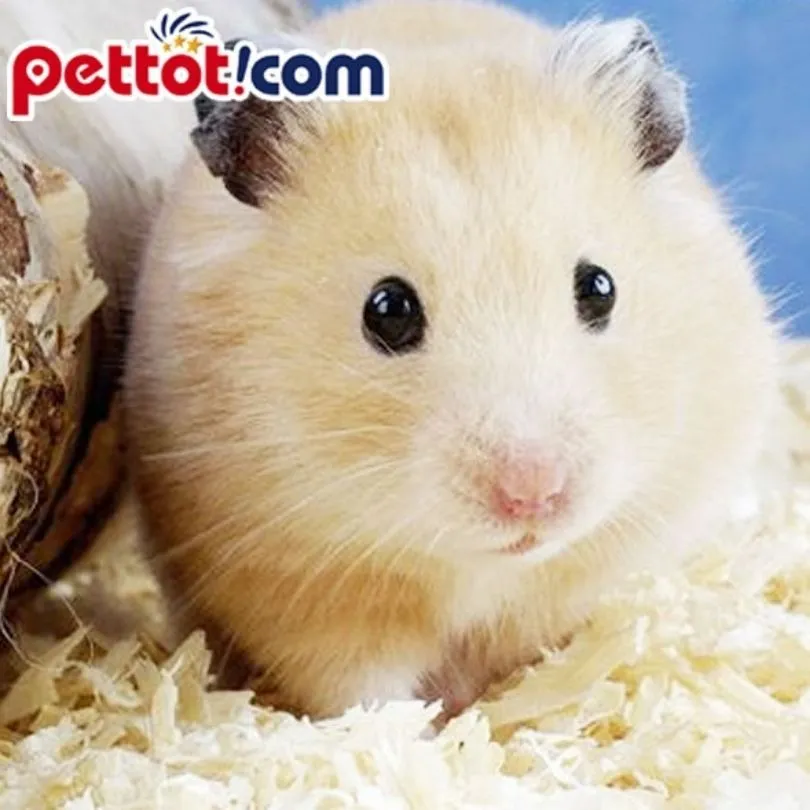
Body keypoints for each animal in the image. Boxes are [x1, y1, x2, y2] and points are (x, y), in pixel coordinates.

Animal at [123, 0, 782, 721]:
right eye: (387, 310)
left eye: (599, 288)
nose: (534, 495)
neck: (479, 565)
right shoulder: (298, 589)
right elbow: (364, 690)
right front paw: (421, 730)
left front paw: (493, 710)